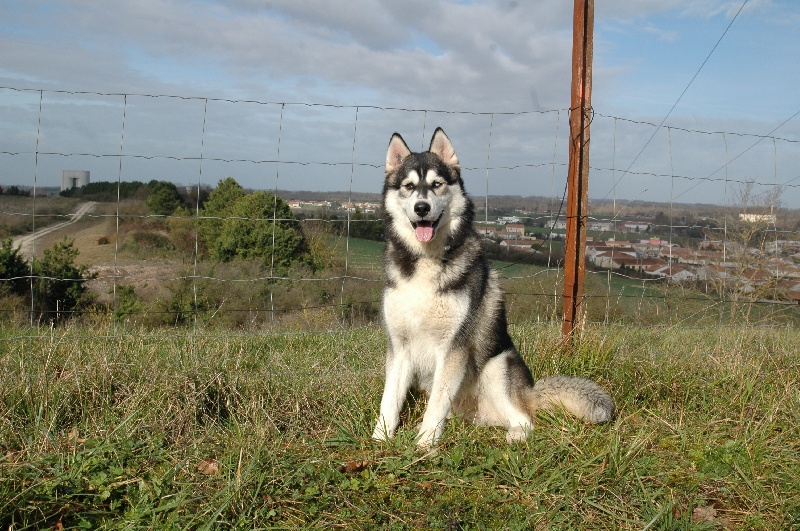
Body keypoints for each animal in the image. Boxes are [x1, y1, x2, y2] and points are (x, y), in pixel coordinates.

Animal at [372, 129, 616, 448]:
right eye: (409, 186)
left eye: (437, 184)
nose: (421, 208)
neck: (426, 260)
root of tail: (530, 392)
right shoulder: (399, 346)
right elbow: (389, 399)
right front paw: (379, 440)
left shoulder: (453, 347)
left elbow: (436, 403)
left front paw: (424, 445)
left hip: (496, 368)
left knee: (526, 420)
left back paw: (513, 437)